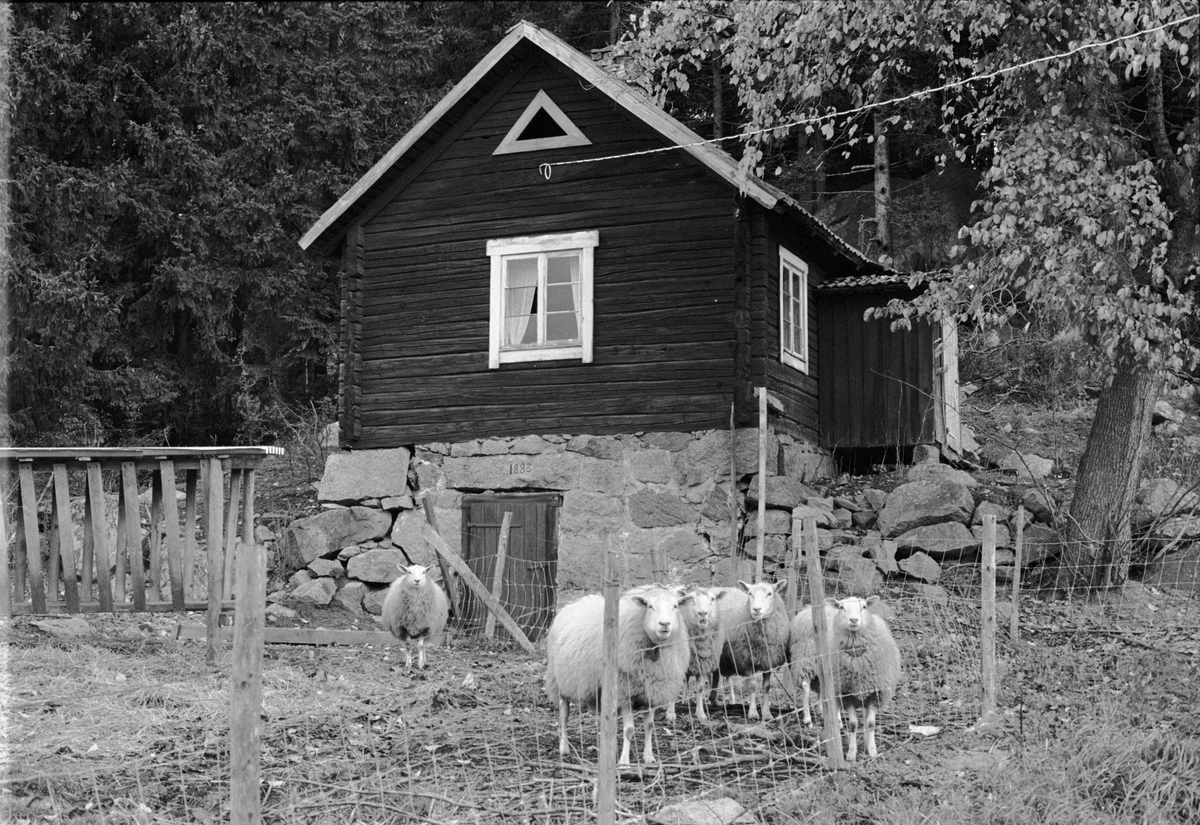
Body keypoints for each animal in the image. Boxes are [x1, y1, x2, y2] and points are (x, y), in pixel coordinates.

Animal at [544, 587, 696, 767]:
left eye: (675, 606)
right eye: (650, 606)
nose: (664, 624)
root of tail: (574, 603)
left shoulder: (650, 693)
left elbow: (650, 726)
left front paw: (649, 757)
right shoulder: (624, 693)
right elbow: (629, 730)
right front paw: (624, 761)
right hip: (559, 681)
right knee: (564, 716)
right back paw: (564, 747)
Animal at [705, 580, 792, 719]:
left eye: (770, 593)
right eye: (750, 593)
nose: (756, 609)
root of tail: (713, 588)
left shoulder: (768, 660)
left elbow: (766, 687)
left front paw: (766, 713)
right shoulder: (746, 659)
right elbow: (752, 686)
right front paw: (753, 713)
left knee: (715, 674)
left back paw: (714, 700)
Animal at [787, 592, 902, 762]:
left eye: (864, 606)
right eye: (841, 607)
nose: (854, 620)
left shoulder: (874, 692)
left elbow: (870, 723)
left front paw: (871, 749)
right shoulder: (846, 694)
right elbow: (853, 725)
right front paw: (851, 754)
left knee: (822, 692)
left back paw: (826, 714)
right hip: (804, 658)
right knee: (806, 686)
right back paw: (808, 720)